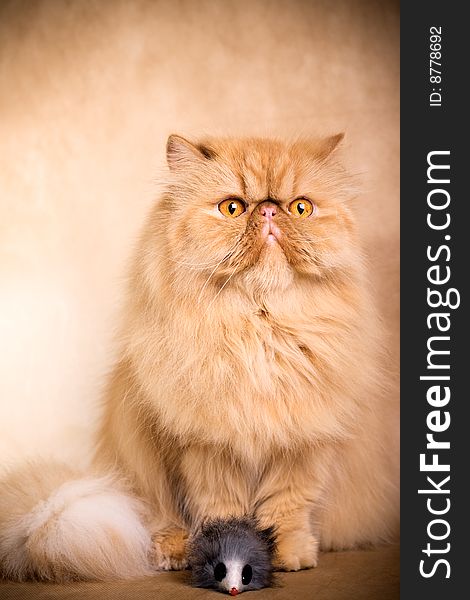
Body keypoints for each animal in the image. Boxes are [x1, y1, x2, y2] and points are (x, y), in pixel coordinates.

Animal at [0, 134, 398, 580]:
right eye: (233, 208)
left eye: (300, 208)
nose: (268, 209)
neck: (259, 329)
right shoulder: (207, 451)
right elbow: (222, 510)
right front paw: (227, 555)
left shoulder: (303, 444)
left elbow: (288, 507)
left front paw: (292, 556)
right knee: (157, 520)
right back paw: (171, 552)